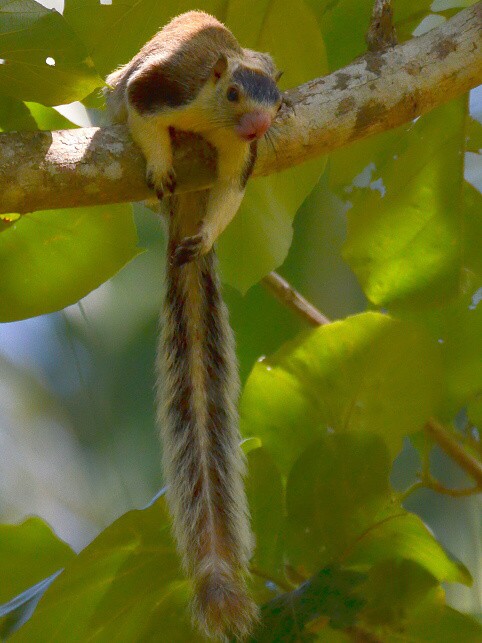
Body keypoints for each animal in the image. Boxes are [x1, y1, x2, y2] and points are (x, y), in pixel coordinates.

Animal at [103, 8, 280, 640]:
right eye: (232, 93)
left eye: (277, 101)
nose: (258, 126)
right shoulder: (161, 90)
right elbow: (142, 112)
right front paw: (158, 165)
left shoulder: (240, 158)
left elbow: (230, 192)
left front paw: (202, 240)